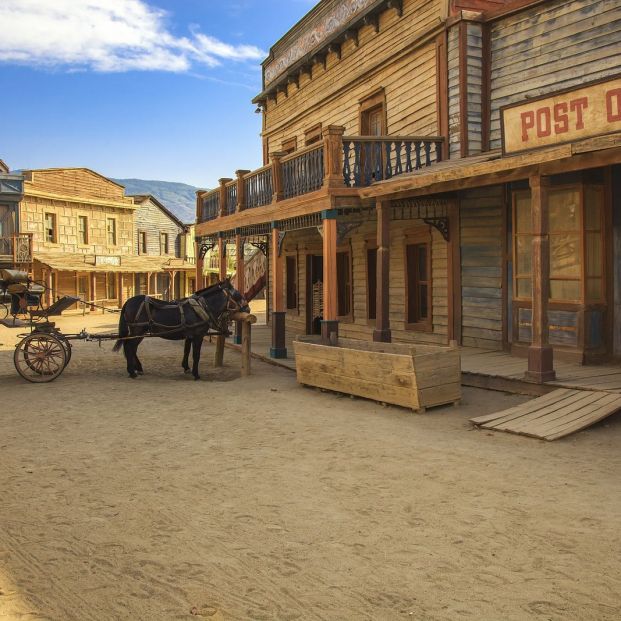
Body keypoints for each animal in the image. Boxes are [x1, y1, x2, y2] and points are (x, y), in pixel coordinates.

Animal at [112, 280, 248, 378]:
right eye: (237, 294)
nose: (248, 308)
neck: (201, 308)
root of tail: (128, 302)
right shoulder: (198, 335)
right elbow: (196, 354)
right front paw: (196, 374)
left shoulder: (190, 335)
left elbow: (186, 350)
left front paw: (186, 367)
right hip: (138, 330)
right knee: (129, 347)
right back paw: (132, 371)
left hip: (138, 332)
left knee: (131, 348)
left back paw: (137, 368)